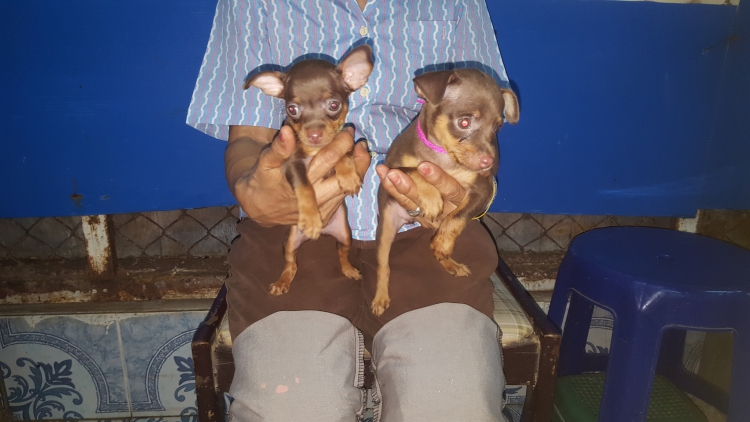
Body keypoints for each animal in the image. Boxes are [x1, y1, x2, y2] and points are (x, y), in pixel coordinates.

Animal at [244, 45, 373, 295]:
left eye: (333, 105)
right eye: (292, 109)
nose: (314, 135)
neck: (315, 150)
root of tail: (325, 233)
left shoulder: (345, 140)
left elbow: (341, 153)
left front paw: (348, 177)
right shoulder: (292, 164)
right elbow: (304, 187)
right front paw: (312, 218)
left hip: (345, 235)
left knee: (341, 253)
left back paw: (349, 269)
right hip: (290, 241)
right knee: (291, 263)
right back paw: (282, 281)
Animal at [371, 68, 519, 316]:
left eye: (497, 127)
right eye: (464, 122)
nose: (489, 162)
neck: (442, 156)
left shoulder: (482, 190)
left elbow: (457, 218)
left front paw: (443, 244)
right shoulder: (393, 169)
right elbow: (416, 170)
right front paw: (431, 198)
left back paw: (449, 260)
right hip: (386, 227)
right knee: (383, 265)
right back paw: (380, 298)